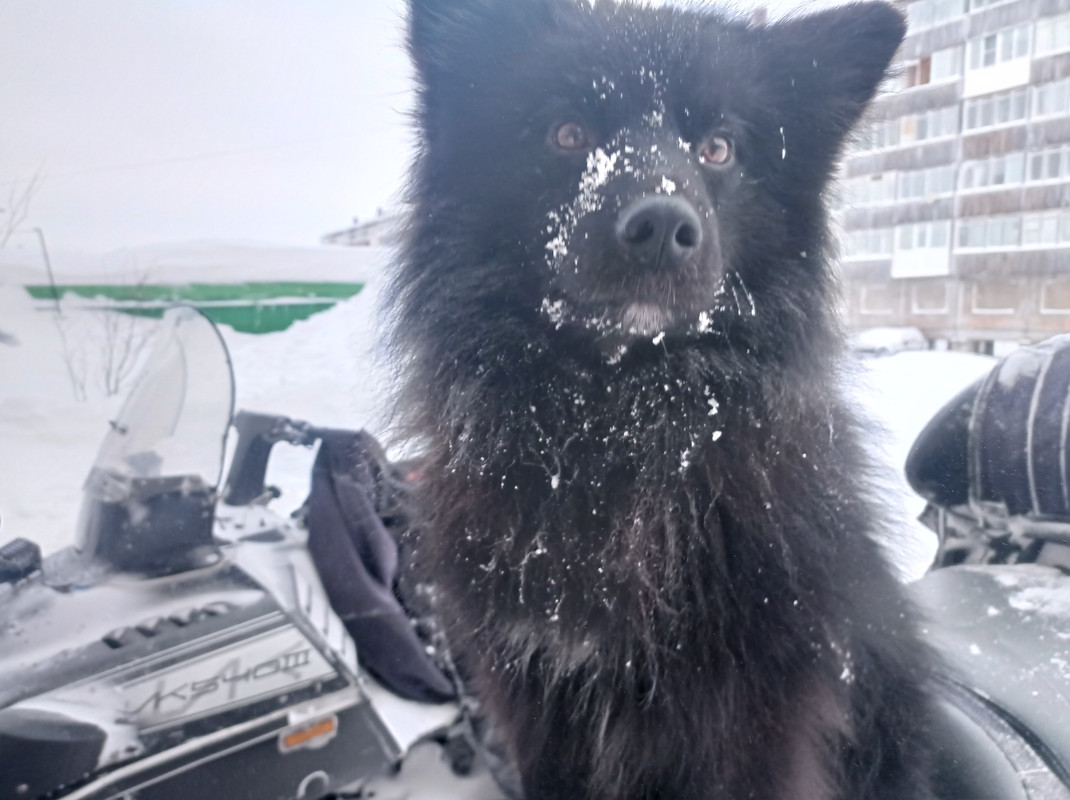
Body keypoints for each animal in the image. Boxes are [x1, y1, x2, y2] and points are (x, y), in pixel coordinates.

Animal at [389, 3, 933, 795]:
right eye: (567, 133)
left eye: (718, 148)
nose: (663, 230)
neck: (622, 430)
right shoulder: (538, 707)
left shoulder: (752, 728)